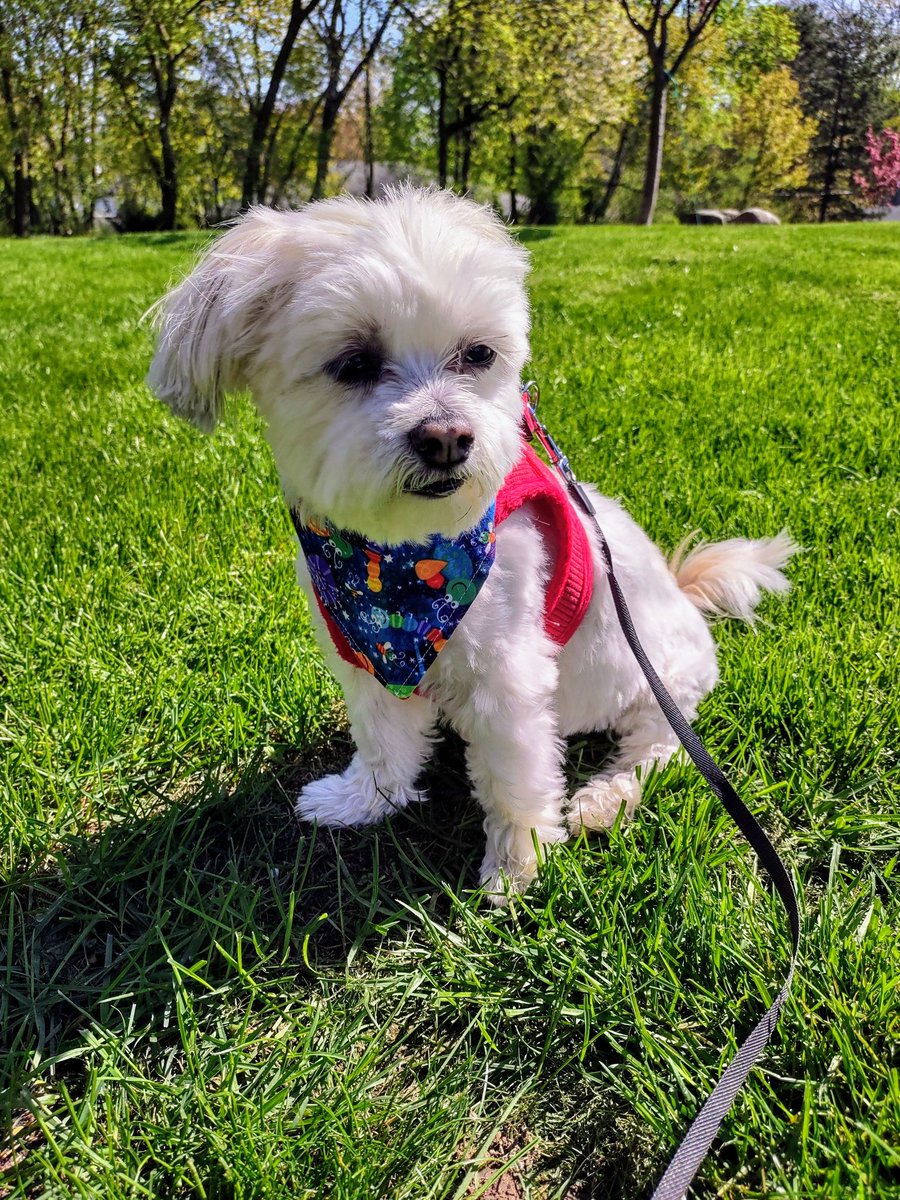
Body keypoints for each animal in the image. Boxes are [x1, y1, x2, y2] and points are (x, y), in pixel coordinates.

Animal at [150, 187, 796, 902]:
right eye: (353, 363)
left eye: (479, 354)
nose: (446, 437)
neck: (399, 567)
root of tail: (684, 598)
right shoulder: (364, 657)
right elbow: (382, 741)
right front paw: (364, 801)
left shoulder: (509, 675)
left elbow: (515, 780)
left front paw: (516, 869)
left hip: (658, 686)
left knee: (657, 748)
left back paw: (605, 799)